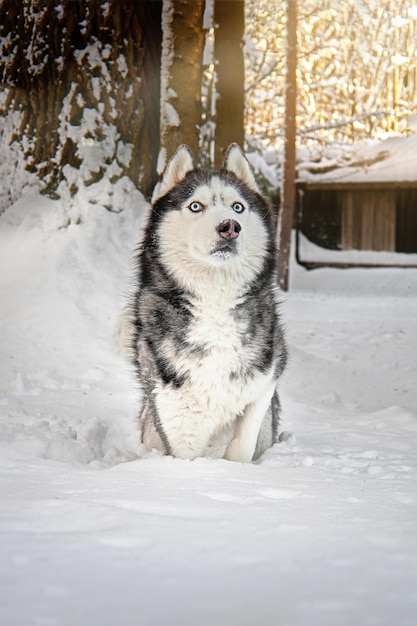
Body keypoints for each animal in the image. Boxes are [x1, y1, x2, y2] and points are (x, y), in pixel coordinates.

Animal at [127, 144, 286, 460]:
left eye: (238, 207)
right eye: (195, 206)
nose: (229, 227)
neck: (215, 304)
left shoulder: (266, 379)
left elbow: (242, 446)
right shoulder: (176, 416)